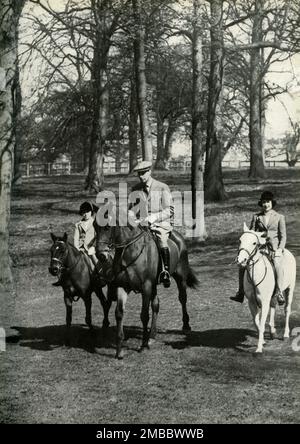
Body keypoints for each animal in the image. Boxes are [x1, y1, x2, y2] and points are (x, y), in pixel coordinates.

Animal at [94, 210, 197, 360]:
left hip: (180, 277)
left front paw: (143, 345)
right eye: (95, 227)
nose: (100, 255)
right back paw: (152, 335)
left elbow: (144, 315)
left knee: (182, 299)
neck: (129, 252)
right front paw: (119, 350)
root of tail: (178, 237)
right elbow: (119, 313)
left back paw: (186, 325)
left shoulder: (146, 287)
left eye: (107, 227)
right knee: (156, 305)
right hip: (154, 286)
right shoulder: (122, 286)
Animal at [238, 224, 296, 352]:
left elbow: (261, 322)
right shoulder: (252, 302)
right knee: (273, 306)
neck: (255, 275)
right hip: (273, 296)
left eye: (254, 243)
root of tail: (287, 252)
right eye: (240, 240)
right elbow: (256, 322)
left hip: (290, 288)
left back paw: (285, 334)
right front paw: (263, 341)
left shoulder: (264, 302)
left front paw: (259, 348)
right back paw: (273, 330)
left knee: (287, 309)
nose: (241, 260)